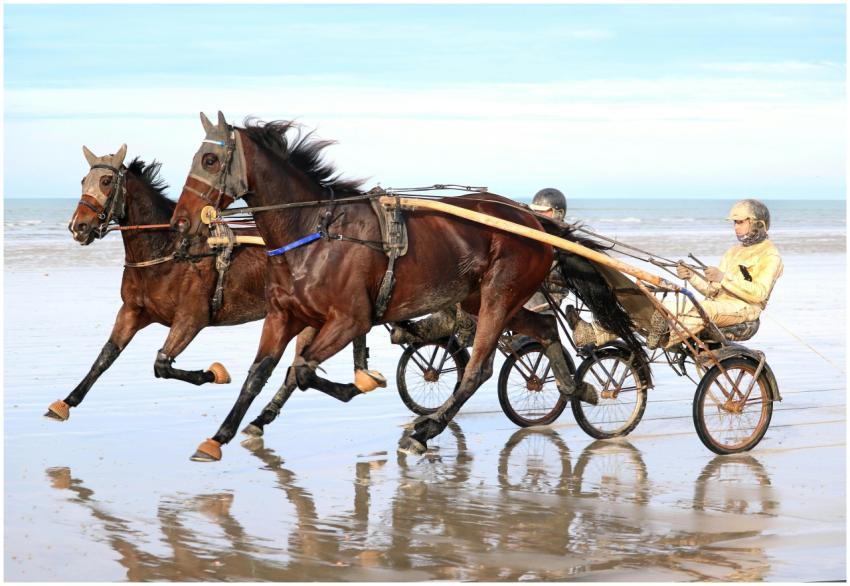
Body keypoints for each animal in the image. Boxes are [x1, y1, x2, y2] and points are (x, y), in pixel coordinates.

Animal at [50, 145, 382, 423]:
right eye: (84, 180)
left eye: (107, 181)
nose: (79, 227)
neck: (168, 250)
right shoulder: (133, 310)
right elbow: (105, 357)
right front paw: (66, 402)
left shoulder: (191, 317)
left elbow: (162, 365)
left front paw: (213, 373)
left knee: (297, 370)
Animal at [170, 112, 641, 462]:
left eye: (209, 160)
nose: (180, 221)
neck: (315, 232)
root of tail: (533, 221)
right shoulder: (284, 315)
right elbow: (258, 375)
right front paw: (220, 436)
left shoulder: (350, 319)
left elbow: (301, 370)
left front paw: (358, 385)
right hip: (480, 296)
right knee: (542, 329)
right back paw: (577, 387)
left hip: (499, 293)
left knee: (478, 368)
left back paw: (425, 429)